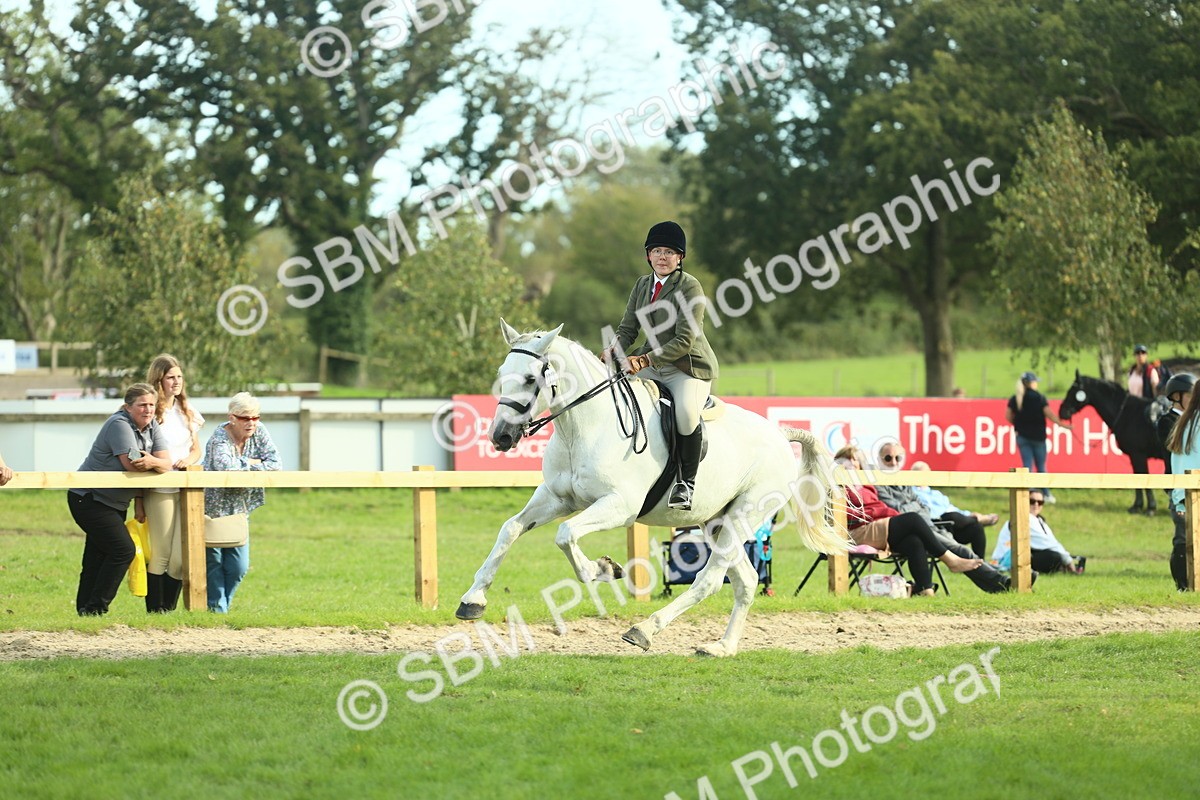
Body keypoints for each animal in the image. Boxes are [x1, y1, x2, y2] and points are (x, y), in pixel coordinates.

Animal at [455, 320, 850, 657]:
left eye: (529, 377)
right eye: (501, 375)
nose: (500, 437)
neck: (582, 427)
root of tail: (781, 434)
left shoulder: (619, 505)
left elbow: (566, 534)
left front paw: (602, 569)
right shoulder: (557, 498)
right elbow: (511, 529)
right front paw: (473, 600)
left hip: (743, 514)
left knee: (709, 580)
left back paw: (645, 629)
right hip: (717, 521)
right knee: (746, 580)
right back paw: (722, 647)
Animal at [1058, 371, 1168, 515]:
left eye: (1072, 390)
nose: (1062, 411)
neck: (1128, 414)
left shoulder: (1138, 455)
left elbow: (1143, 478)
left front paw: (1150, 508)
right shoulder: (1135, 457)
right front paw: (1137, 506)